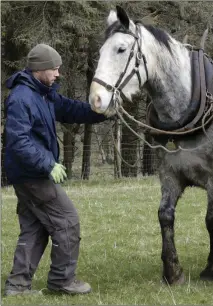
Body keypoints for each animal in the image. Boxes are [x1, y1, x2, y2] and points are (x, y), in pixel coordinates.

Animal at [89, 5, 213, 286]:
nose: (96, 99)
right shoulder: (169, 174)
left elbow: (211, 219)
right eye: (100, 51)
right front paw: (173, 272)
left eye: (121, 49)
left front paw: (211, 268)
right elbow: (164, 215)